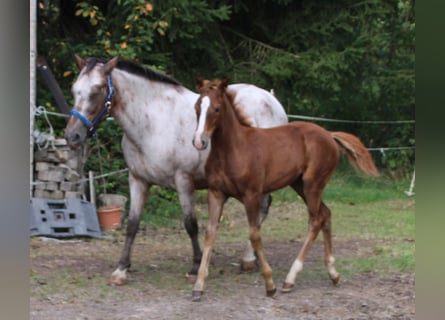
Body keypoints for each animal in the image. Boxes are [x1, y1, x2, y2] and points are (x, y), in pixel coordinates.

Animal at [63, 55, 288, 284]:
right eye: (74, 90)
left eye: (96, 91)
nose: (72, 136)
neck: (153, 123)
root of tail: (270, 99)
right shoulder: (137, 180)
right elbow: (132, 225)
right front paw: (121, 269)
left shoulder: (183, 181)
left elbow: (191, 225)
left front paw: (196, 266)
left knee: (262, 208)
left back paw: (248, 258)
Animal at [191, 77, 378, 300]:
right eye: (197, 107)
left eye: (217, 108)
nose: (199, 141)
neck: (233, 150)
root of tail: (329, 134)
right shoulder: (216, 193)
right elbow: (210, 233)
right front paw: (198, 286)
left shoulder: (252, 194)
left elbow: (255, 234)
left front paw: (270, 284)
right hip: (300, 185)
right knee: (326, 214)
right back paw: (333, 274)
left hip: (313, 184)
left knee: (315, 220)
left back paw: (290, 279)